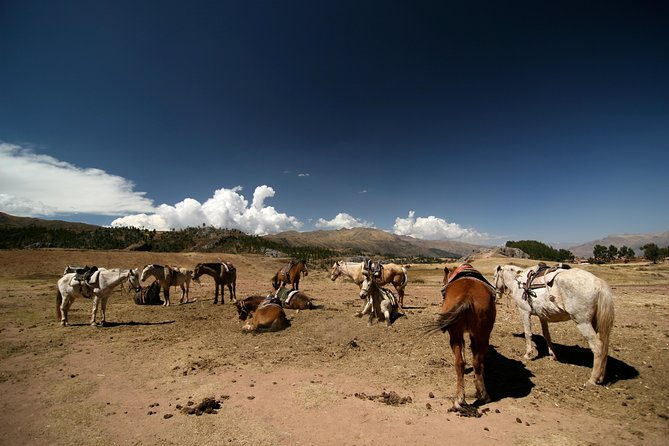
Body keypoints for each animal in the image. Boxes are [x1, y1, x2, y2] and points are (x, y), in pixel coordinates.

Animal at [427, 265, 496, 409]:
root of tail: (467, 296)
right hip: (480, 335)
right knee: (476, 362)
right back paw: (481, 395)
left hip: (457, 334)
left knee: (461, 363)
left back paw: (461, 399)